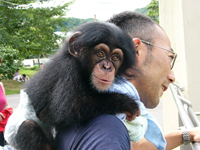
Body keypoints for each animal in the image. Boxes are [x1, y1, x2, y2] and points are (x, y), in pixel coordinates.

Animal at [5, 21, 139, 150]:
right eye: (100, 54)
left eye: (115, 57)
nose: (107, 67)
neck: (82, 68)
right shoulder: (68, 69)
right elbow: (69, 107)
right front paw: (126, 102)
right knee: (28, 127)